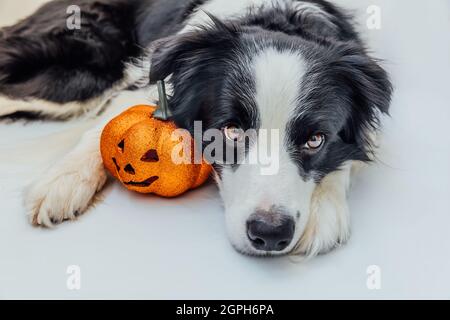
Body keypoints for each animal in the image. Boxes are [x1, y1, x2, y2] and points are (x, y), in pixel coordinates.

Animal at [0, 0, 390, 256]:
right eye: (231, 130)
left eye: (315, 140)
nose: (270, 234)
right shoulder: (149, 77)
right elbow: (107, 126)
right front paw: (61, 182)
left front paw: (324, 210)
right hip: (80, 69)